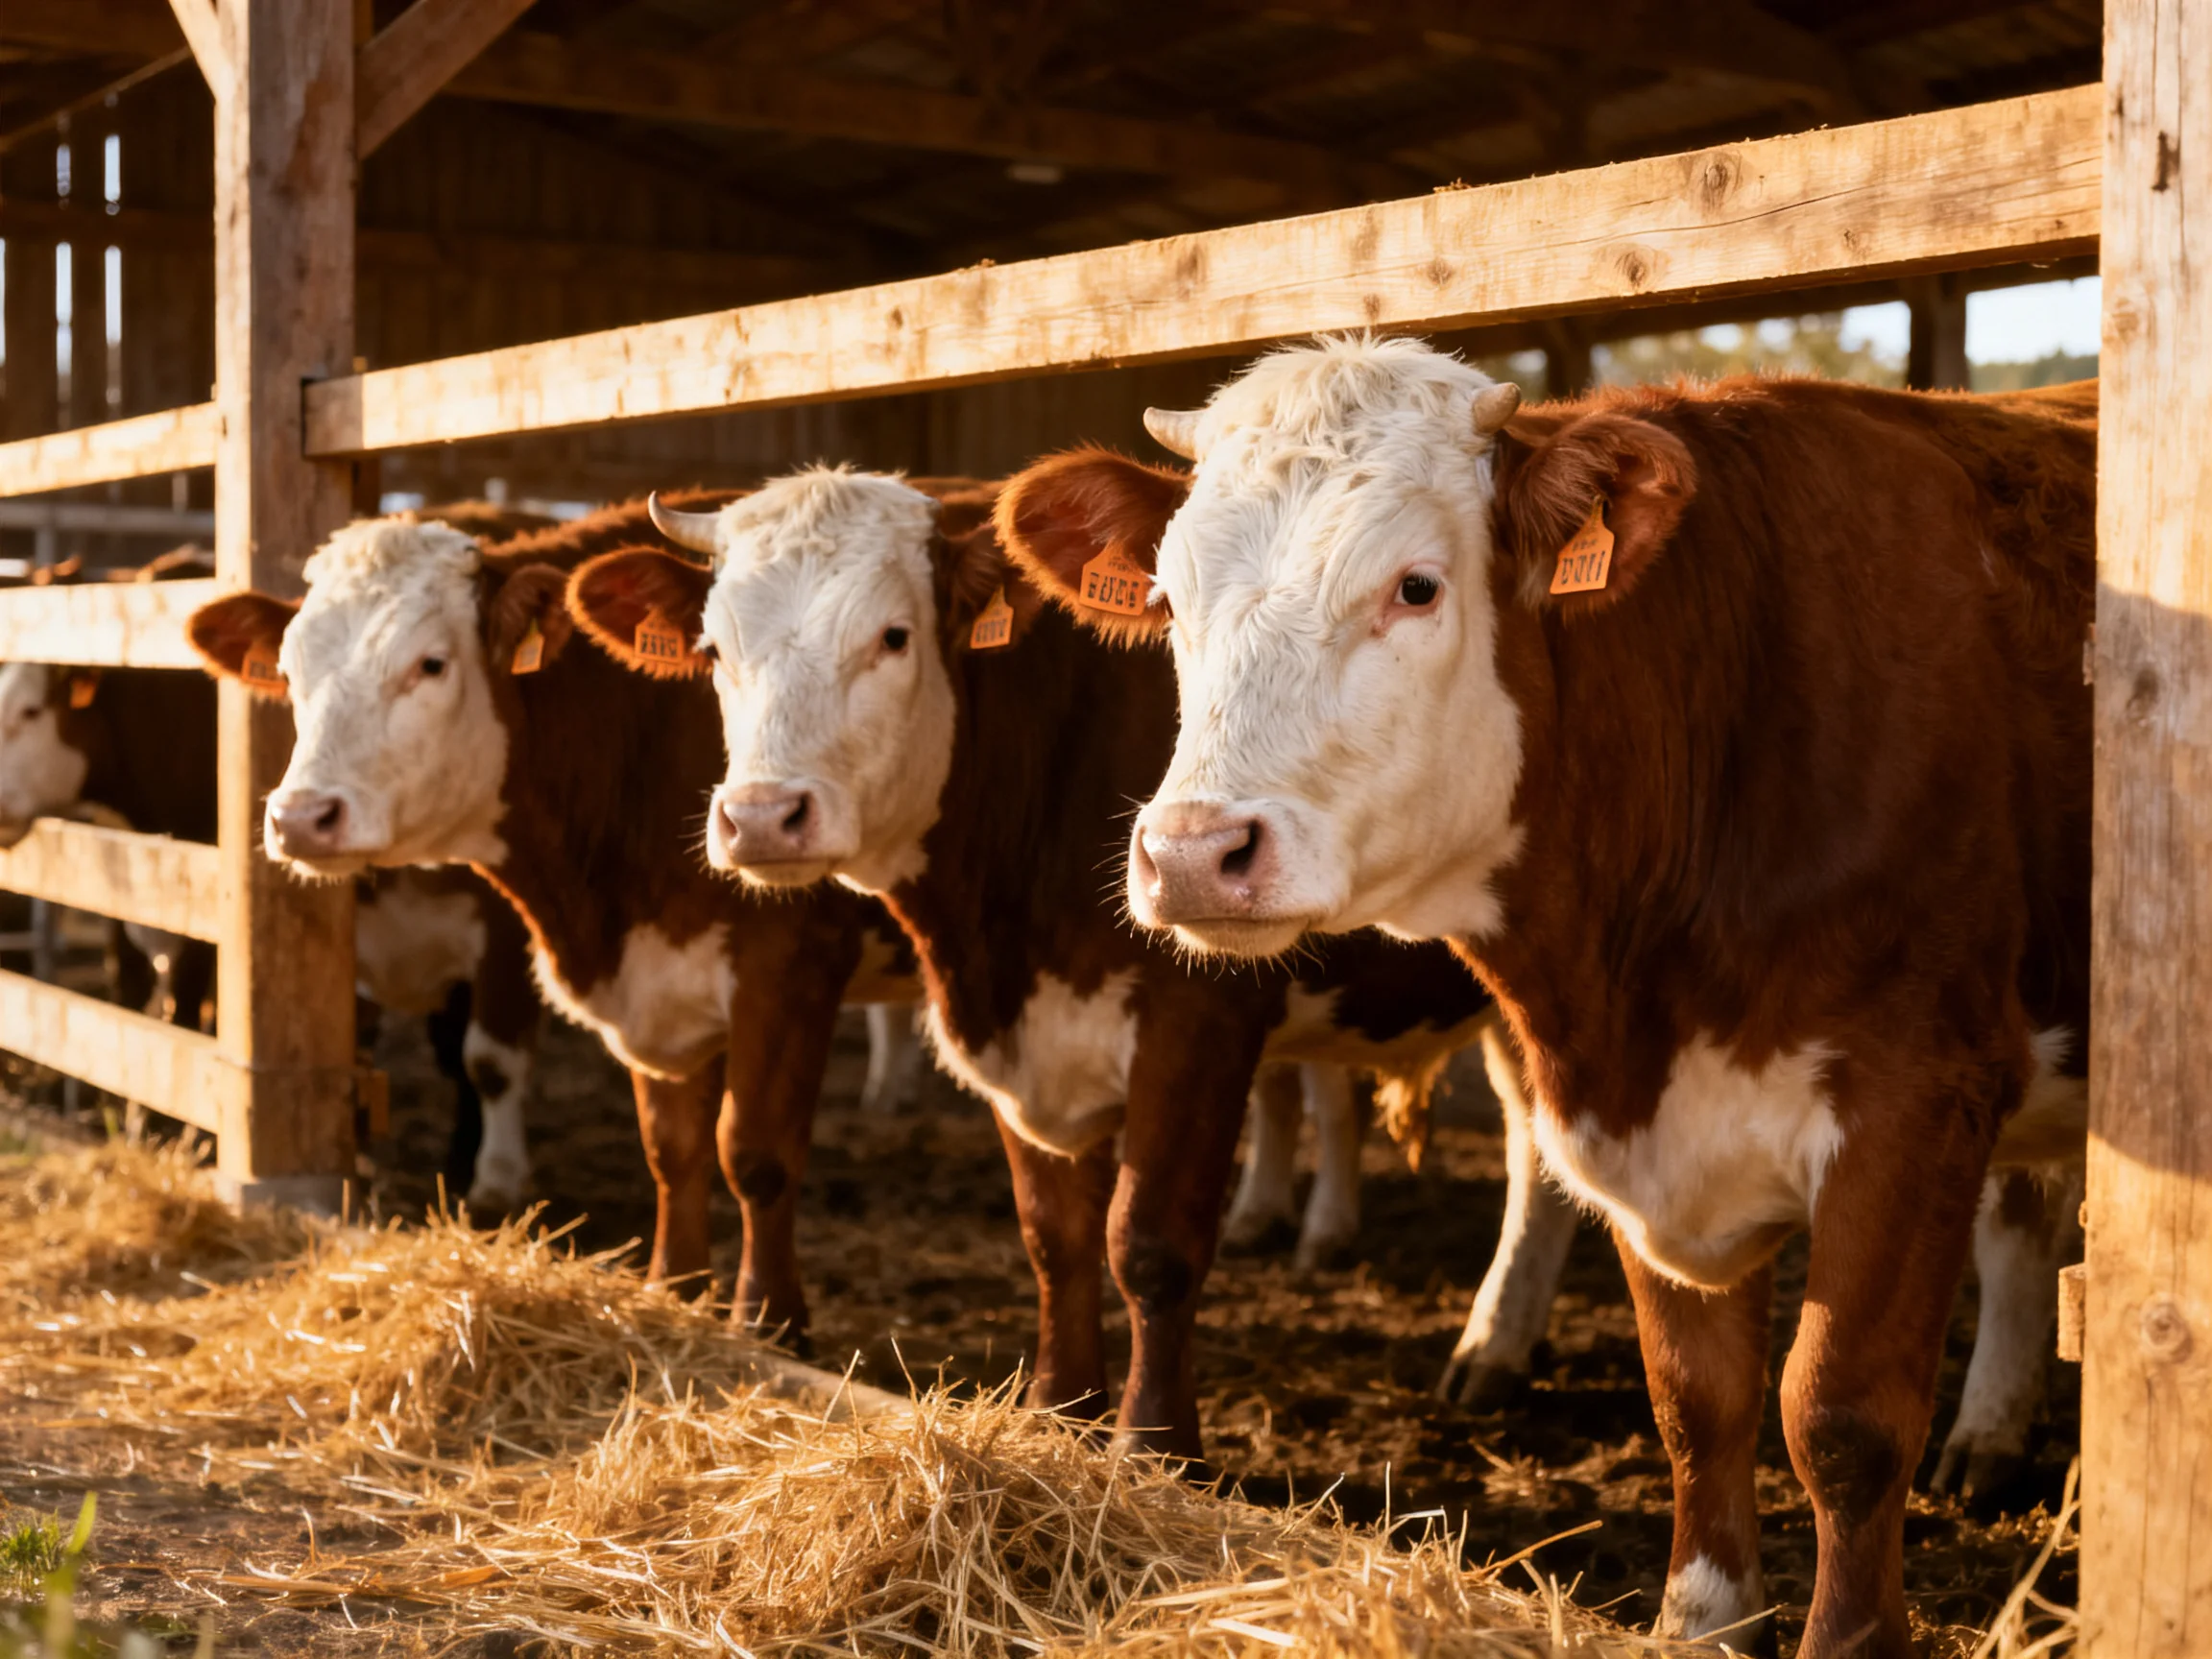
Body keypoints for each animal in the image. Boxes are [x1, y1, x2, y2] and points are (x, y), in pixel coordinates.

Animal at [185, 497, 922, 1343]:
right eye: (291, 670)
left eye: (431, 664)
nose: (302, 818)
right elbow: (674, 1148)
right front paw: (674, 1292)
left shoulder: (791, 962)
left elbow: (753, 1151)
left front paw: (767, 1323)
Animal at [567, 470, 1549, 1458]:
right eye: (714, 649)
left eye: (893, 636)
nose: (763, 818)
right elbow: (1056, 1233)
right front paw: (1060, 1412)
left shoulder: (1198, 1017)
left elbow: (1149, 1243)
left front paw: (1155, 1449)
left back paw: (1490, 1347)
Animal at [992, 336, 2094, 1657]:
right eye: (1167, 599)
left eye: (1416, 588)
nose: (1195, 853)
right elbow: (1699, 1399)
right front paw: (1701, 1617)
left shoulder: (1918, 1097)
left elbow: (1842, 1417)